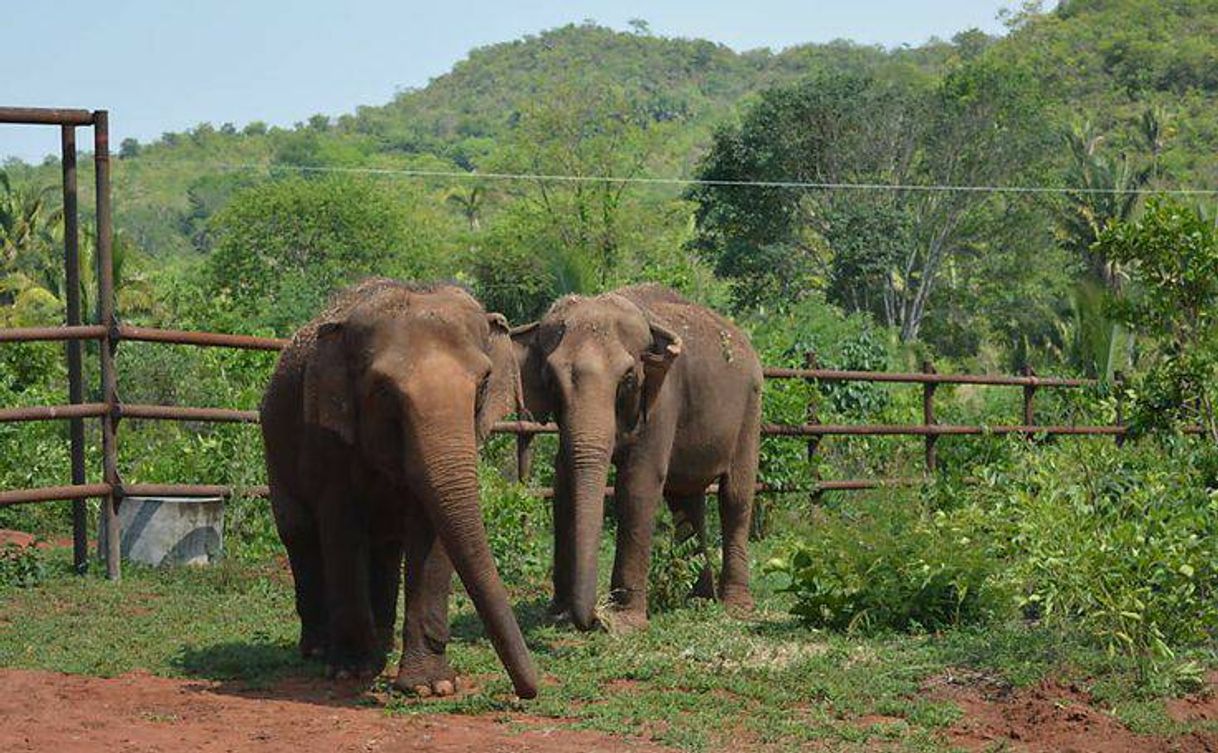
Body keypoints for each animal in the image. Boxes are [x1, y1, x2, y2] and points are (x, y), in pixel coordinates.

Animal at [260, 279, 538, 696]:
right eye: (384, 390)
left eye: (484, 383)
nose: (528, 691)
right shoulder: (327, 440)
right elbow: (341, 530)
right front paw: (351, 672)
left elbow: (431, 532)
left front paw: (431, 687)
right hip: (274, 451)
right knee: (300, 533)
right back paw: (319, 649)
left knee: (386, 548)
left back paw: (384, 646)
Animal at [513, 281, 760, 628]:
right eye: (550, 379)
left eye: (628, 378)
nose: (593, 618)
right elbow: (563, 486)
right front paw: (558, 613)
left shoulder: (663, 399)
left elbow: (637, 486)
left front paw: (626, 622)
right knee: (685, 501)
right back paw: (698, 601)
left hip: (751, 408)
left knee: (735, 496)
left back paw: (735, 606)